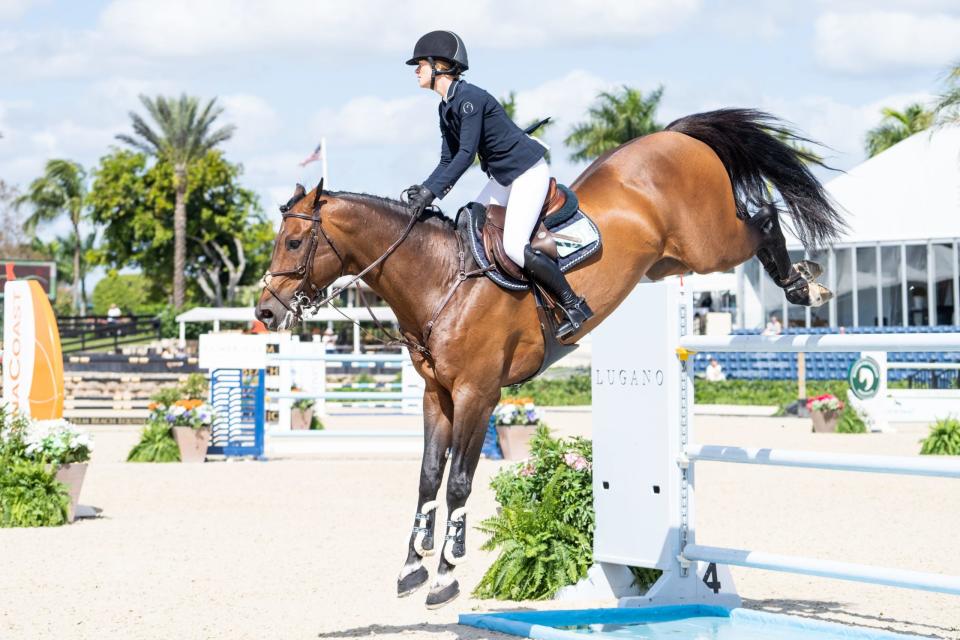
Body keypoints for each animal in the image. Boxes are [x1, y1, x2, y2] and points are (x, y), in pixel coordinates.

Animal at [256, 110, 848, 608]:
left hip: (709, 243)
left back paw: (804, 285)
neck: (441, 279)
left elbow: (459, 481)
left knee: (763, 217)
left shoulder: (478, 394)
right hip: (667, 262)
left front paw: (445, 575)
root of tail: (674, 135)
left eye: (294, 242)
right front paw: (411, 569)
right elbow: (427, 477)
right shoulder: (437, 395)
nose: (265, 310)